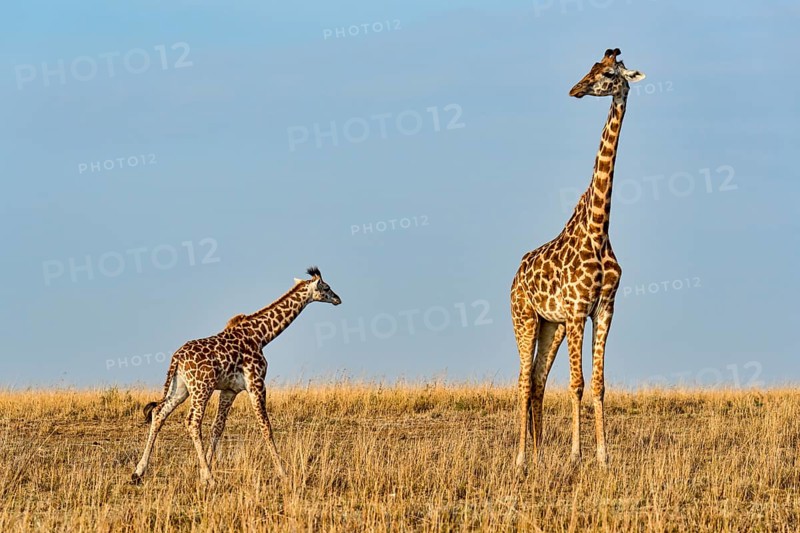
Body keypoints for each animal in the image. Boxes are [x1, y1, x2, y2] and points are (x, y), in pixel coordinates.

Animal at [131, 266, 341, 486]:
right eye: (326, 287)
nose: (338, 299)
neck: (262, 336)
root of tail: (177, 358)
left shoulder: (229, 390)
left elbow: (218, 427)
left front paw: (203, 472)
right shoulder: (257, 384)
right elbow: (266, 426)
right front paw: (283, 473)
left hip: (181, 388)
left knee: (159, 413)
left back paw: (138, 472)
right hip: (202, 387)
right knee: (192, 421)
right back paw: (211, 478)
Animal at [511, 48, 645, 472]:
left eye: (609, 74)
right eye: (591, 67)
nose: (576, 89)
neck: (599, 229)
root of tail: (515, 275)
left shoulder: (603, 310)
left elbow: (598, 384)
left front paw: (602, 456)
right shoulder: (576, 312)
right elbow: (577, 384)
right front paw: (575, 455)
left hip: (550, 326)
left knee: (537, 381)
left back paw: (538, 457)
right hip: (525, 319)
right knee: (523, 381)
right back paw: (521, 459)